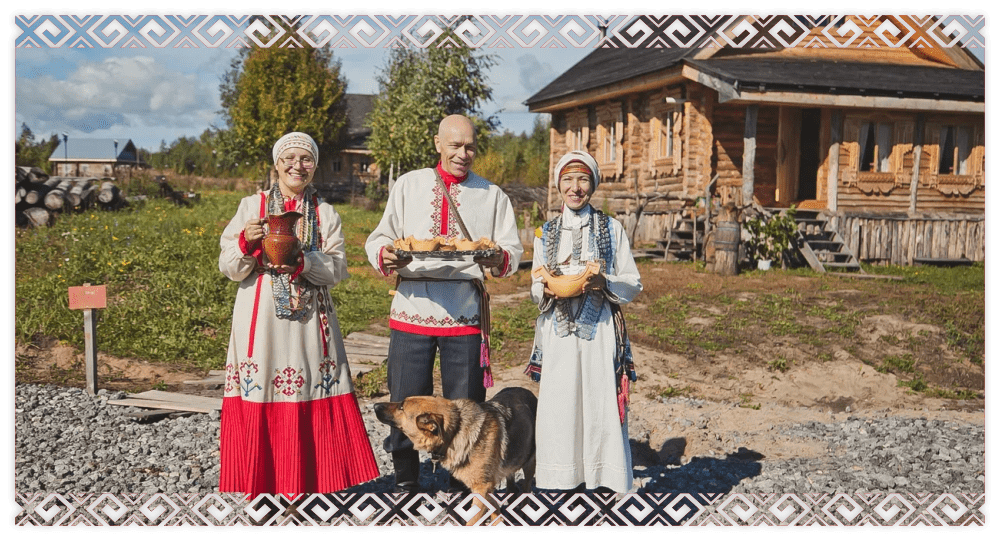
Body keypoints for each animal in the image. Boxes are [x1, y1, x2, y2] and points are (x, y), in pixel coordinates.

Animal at [374, 386, 540, 524]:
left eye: (401, 407)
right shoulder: (483, 486)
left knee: (526, 487)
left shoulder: (482, 486)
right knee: (512, 484)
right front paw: (498, 520)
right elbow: (493, 506)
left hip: (530, 463)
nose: (375, 406)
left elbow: (474, 519)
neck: (454, 432)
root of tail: (528, 392)